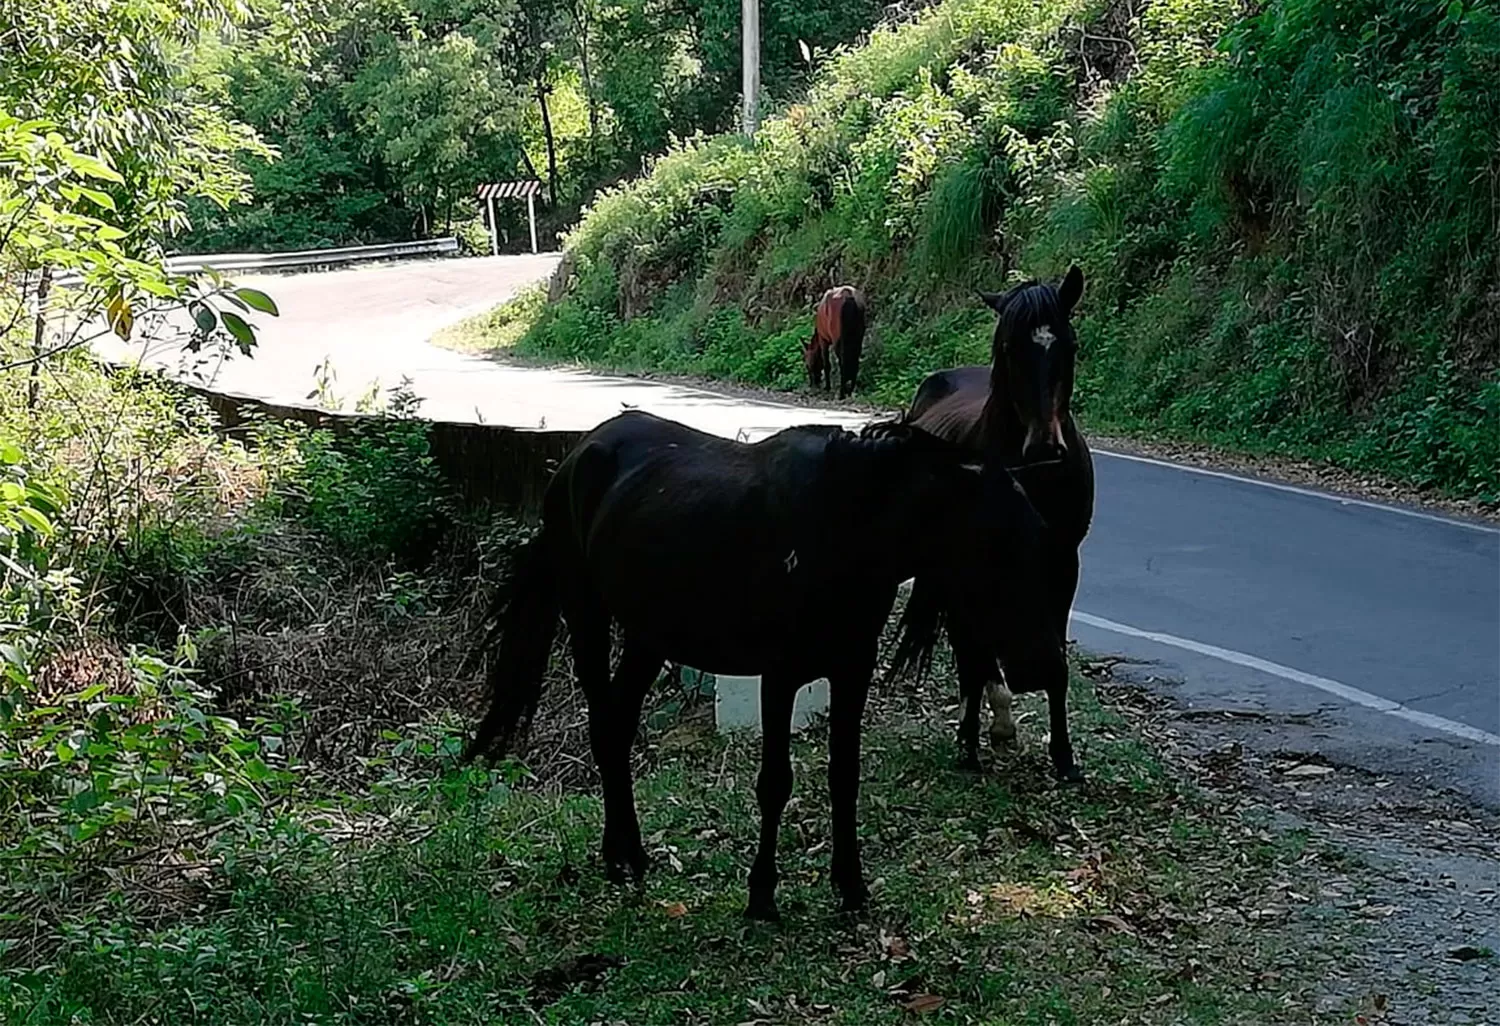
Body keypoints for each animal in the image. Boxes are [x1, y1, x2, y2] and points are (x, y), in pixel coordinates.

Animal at [462, 408, 1062, 924]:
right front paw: (762, 893)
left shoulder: (852, 670)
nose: (1036, 667)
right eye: (1003, 541)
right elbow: (775, 782)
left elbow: (844, 776)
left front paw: (850, 884)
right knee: (603, 724)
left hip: (649, 636)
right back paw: (621, 854)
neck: (845, 525)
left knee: (618, 727)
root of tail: (578, 453)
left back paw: (629, 854)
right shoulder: (780, 676)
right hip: (586, 612)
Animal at [894, 264, 1098, 780]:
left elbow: (1056, 659)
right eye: (1009, 347)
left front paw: (1064, 757)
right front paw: (968, 744)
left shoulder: (1064, 564)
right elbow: (975, 654)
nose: (1045, 446)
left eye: (1070, 344)